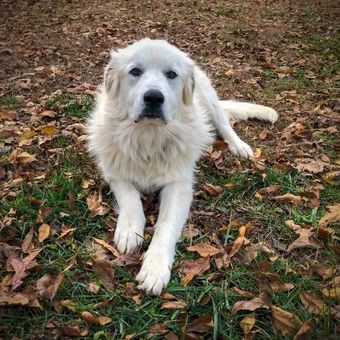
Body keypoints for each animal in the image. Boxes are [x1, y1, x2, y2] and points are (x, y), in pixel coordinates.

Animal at [86, 37, 278, 294]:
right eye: (135, 71)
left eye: (171, 74)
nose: (154, 97)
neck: (148, 137)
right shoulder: (115, 172)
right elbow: (130, 197)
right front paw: (129, 229)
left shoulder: (178, 185)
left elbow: (165, 226)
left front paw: (155, 268)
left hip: (209, 101)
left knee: (225, 125)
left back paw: (239, 146)